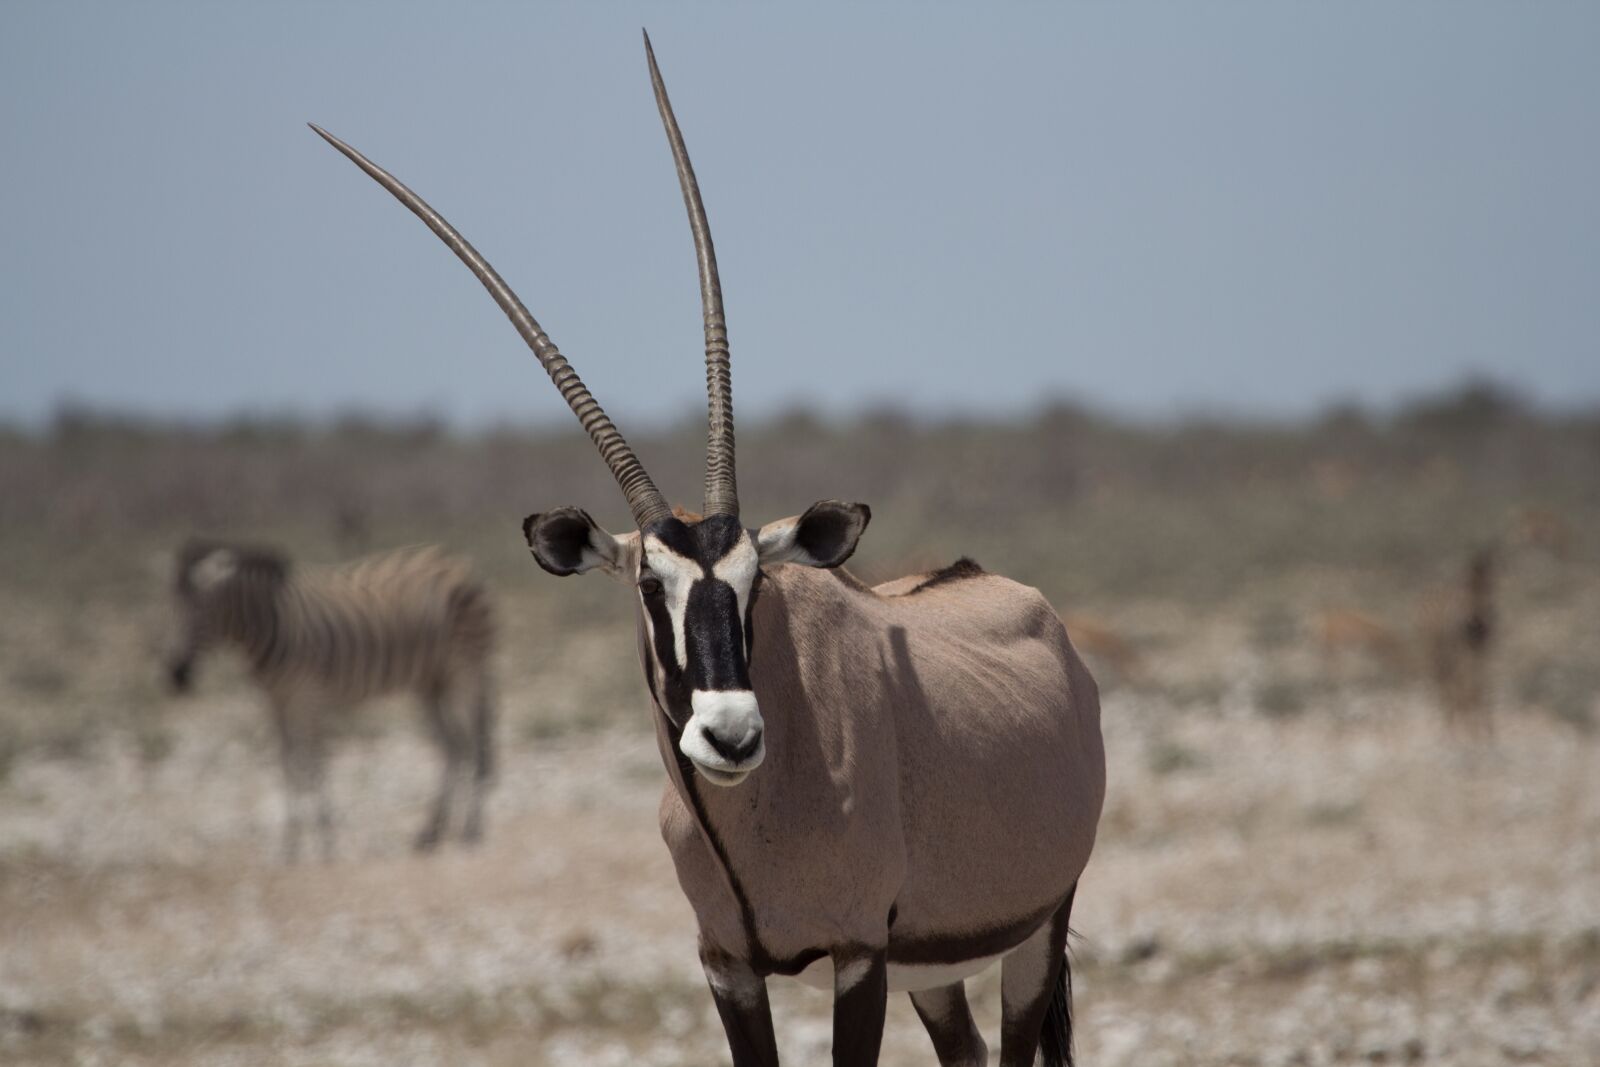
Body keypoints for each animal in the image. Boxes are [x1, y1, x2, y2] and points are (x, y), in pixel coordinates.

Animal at [166, 541, 497, 859]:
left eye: (206, 613)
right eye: (173, 610)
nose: (178, 676)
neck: (272, 624)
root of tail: (458, 561)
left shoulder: (308, 696)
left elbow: (314, 766)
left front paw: (326, 844)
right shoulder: (277, 703)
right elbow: (289, 767)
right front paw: (290, 847)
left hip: (465, 668)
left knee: (473, 742)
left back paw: (471, 831)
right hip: (431, 681)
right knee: (453, 746)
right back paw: (431, 835)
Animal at [313, 34, 1105, 1066]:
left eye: (755, 580)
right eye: (650, 583)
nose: (731, 735)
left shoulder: (858, 954)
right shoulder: (728, 965)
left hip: (1035, 930)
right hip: (938, 967)